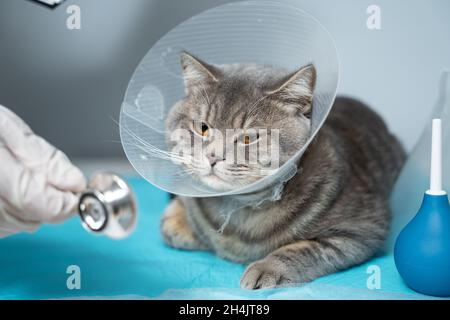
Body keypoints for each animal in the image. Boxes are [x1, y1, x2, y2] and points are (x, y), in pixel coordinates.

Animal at [160, 52, 406, 290]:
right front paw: (180, 221)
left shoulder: (362, 230)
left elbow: (303, 249)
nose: (213, 156)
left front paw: (267, 267)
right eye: (203, 128)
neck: (241, 207)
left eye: (249, 138)